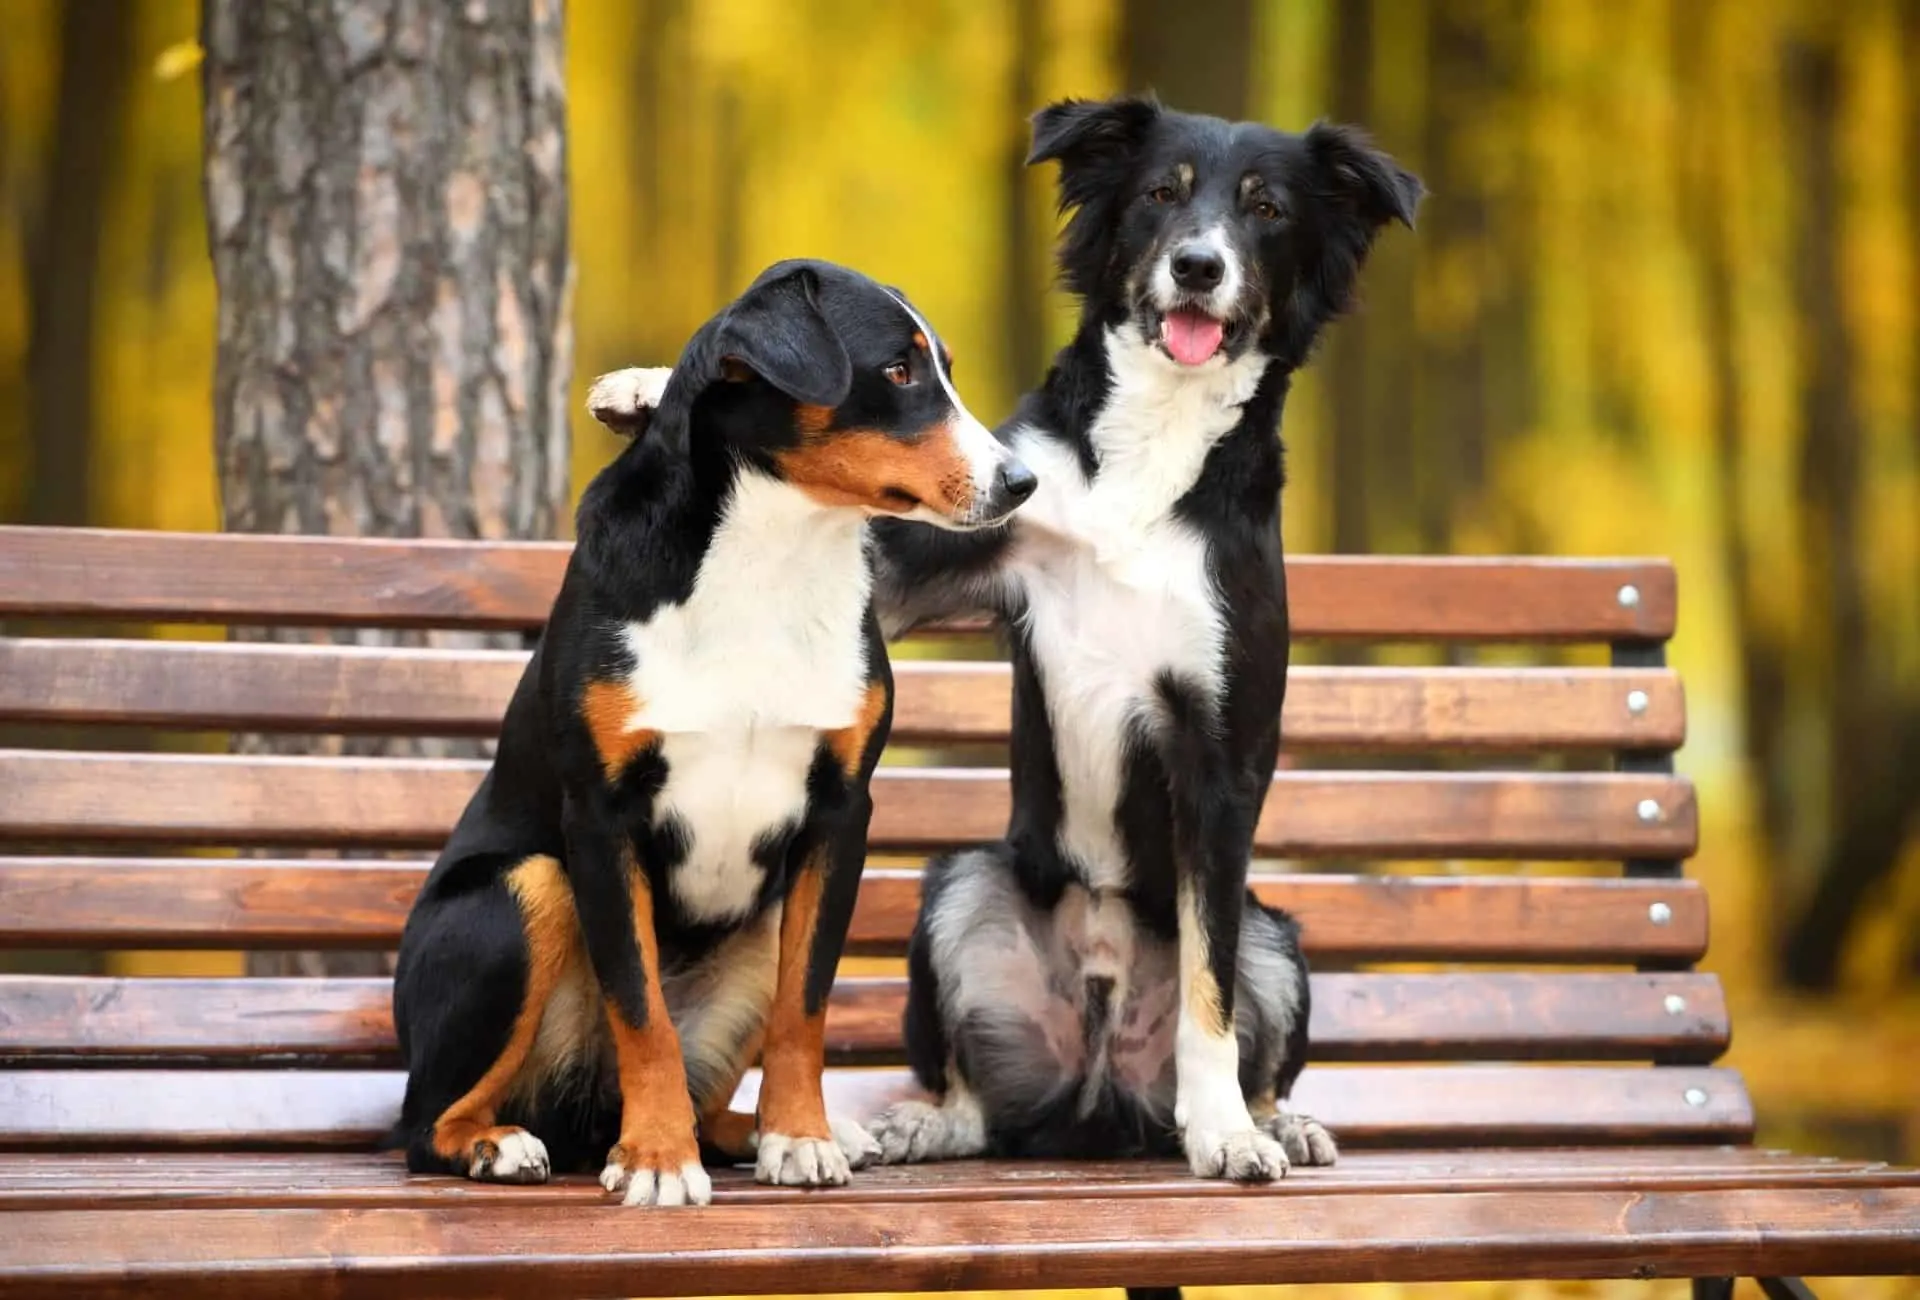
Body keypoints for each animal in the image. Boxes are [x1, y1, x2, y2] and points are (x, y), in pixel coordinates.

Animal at [391, 259, 1044, 1198]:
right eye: (897, 370)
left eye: (942, 368)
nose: (1021, 481)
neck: (771, 558)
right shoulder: (601, 817)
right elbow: (641, 1012)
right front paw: (660, 1160)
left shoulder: (839, 814)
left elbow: (804, 1007)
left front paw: (800, 1137)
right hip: (524, 888)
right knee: (422, 1121)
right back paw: (500, 1144)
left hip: (755, 922)